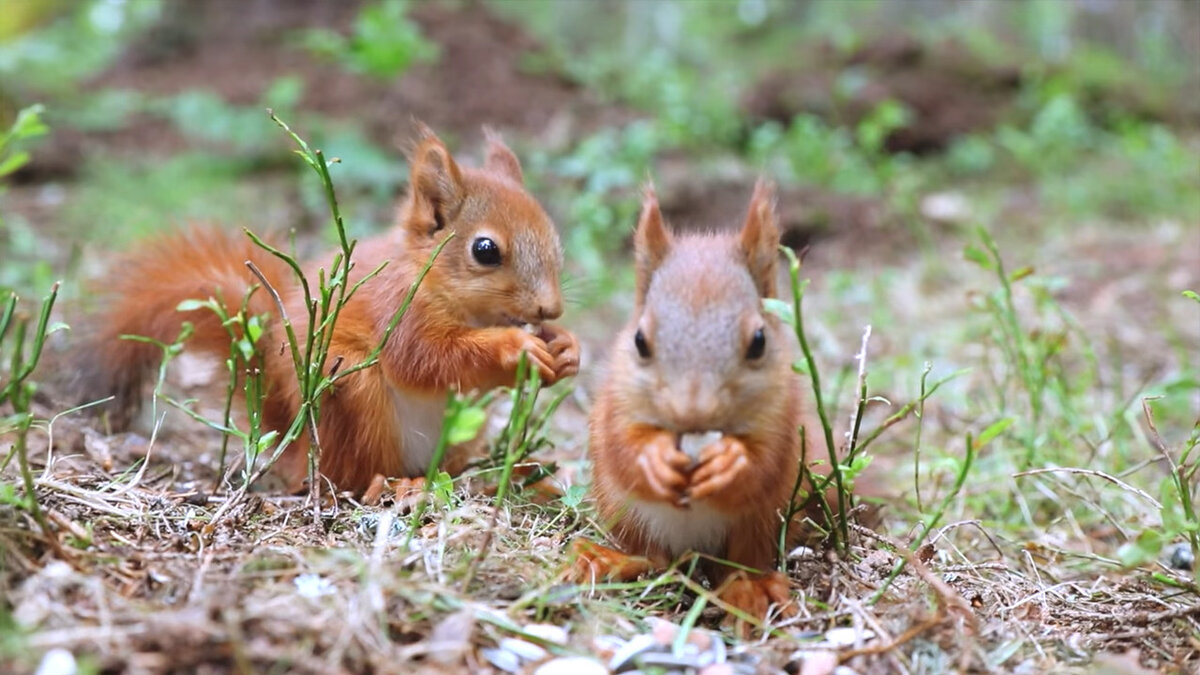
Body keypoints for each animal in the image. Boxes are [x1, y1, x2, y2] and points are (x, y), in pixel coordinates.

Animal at [77, 127, 578, 494]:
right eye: (485, 250)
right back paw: (392, 485)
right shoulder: (399, 311)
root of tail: (297, 448)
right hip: (353, 394)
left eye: (554, 236)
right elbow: (424, 358)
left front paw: (567, 350)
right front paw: (514, 348)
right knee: (349, 473)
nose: (550, 308)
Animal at [573, 180, 806, 624]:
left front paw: (732, 463)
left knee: (740, 563)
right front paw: (653, 460)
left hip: (759, 523)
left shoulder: (781, 413)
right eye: (640, 341)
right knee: (651, 558)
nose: (692, 413)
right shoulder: (616, 401)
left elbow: (765, 462)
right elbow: (620, 446)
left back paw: (750, 589)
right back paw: (608, 560)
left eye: (759, 342)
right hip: (622, 509)